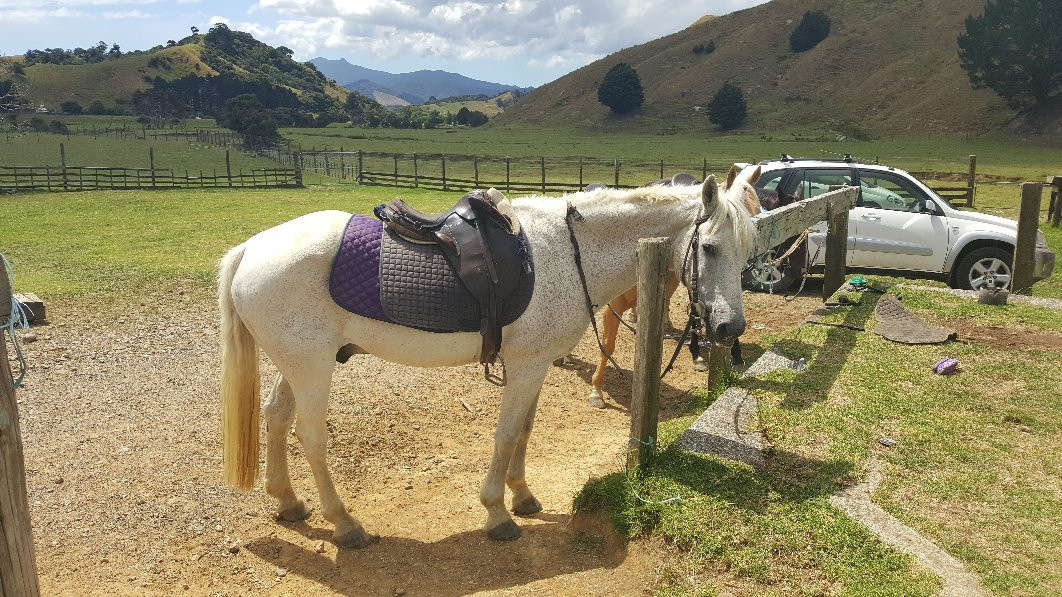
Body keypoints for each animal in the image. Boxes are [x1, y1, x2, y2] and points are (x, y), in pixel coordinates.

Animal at [586, 166, 763, 408]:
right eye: (708, 247)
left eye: (758, 209)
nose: (732, 328)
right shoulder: (612, 307)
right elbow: (607, 345)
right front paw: (596, 392)